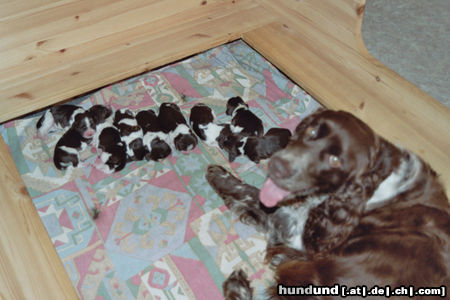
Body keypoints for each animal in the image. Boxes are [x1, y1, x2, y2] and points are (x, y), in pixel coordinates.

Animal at [207, 109, 450, 298]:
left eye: (335, 160)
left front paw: (219, 175)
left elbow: (253, 194)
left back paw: (237, 286)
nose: (276, 166)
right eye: (312, 131)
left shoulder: (296, 233)